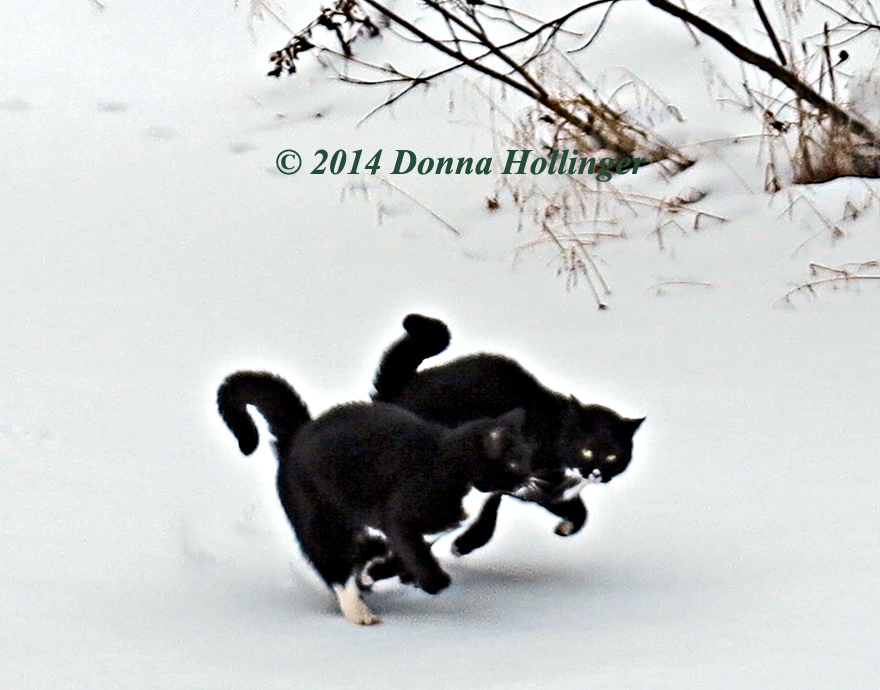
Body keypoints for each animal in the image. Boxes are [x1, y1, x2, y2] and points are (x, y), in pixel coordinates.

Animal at [217, 370, 532, 624]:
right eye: (515, 463)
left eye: (526, 457)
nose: (530, 475)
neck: (454, 465)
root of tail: (297, 431)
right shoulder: (400, 516)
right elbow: (416, 554)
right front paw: (435, 582)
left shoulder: (419, 533)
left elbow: (407, 554)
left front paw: (377, 571)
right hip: (322, 521)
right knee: (334, 566)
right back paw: (360, 613)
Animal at [372, 312, 648, 560]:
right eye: (587, 450)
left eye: (613, 456)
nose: (596, 472)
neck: (555, 431)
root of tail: (403, 386)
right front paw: (466, 543)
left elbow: (577, 510)